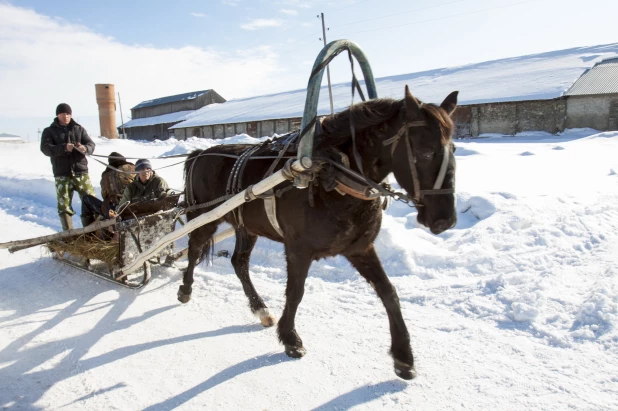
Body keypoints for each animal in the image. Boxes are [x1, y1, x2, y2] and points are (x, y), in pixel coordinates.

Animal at [178, 86, 458, 380]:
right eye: (425, 151)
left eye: (453, 148)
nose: (445, 220)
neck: (331, 172)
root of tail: (199, 153)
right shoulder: (298, 250)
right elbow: (295, 292)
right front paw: (291, 339)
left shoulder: (360, 248)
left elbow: (388, 292)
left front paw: (404, 356)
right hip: (203, 217)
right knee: (194, 249)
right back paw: (185, 289)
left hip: (246, 225)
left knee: (239, 263)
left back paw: (260, 308)